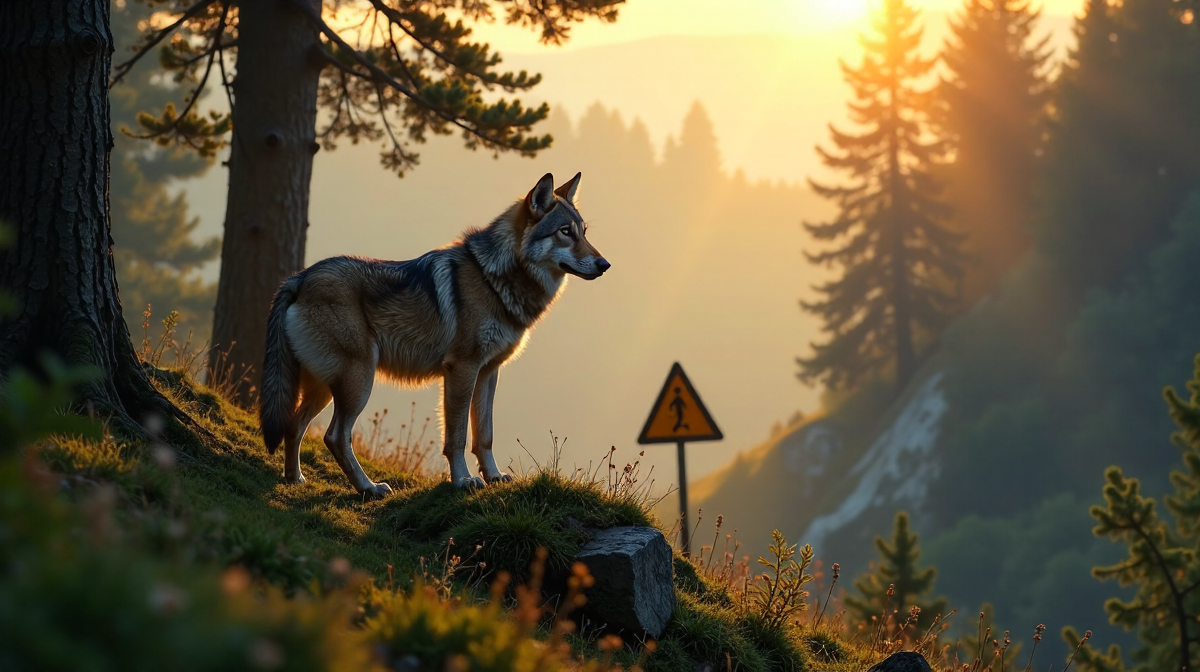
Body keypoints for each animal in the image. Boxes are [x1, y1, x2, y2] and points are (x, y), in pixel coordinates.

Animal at [258, 173, 608, 498]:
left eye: (584, 232)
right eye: (565, 232)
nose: (604, 264)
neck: (493, 279)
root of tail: (300, 277)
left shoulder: (489, 372)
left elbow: (485, 435)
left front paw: (494, 476)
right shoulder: (462, 369)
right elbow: (457, 436)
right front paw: (464, 481)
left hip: (325, 387)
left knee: (294, 425)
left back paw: (294, 479)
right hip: (358, 381)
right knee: (334, 436)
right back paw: (368, 488)